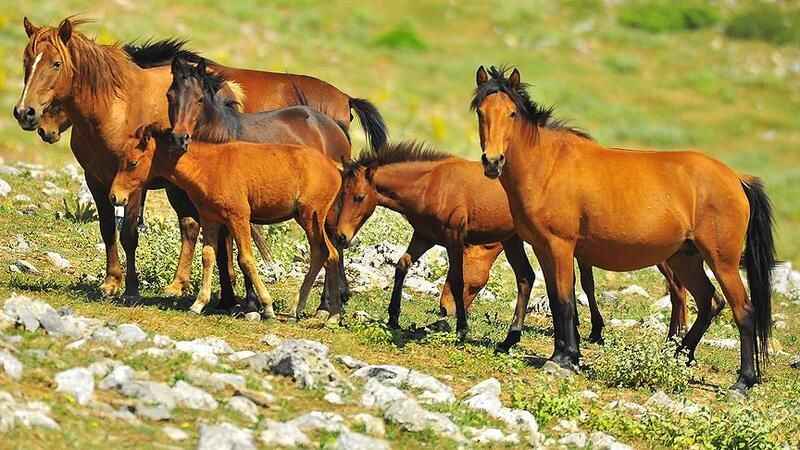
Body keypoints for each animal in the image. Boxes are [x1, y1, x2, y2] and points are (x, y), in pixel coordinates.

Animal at [109, 124, 340, 320]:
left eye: (133, 163)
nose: (114, 197)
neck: (207, 167)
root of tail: (335, 168)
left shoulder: (239, 218)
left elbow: (246, 259)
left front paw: (267, 306)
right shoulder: (210, 219)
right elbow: (208, 256)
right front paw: (198, 304)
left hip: (310, 218)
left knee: (324, 253)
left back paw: (322, 313)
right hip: (308, 219)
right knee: (327, 254)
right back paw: (306, 311)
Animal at [334, 142, 692, 346]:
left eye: (359, 197)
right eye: (340, 194)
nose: (341, 237)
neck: (432, 184)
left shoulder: (454, 238)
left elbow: (458, 278)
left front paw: (461, 329)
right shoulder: (425, 236)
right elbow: (402, 265)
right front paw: (393, 316)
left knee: (677, 287)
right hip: (514, 242)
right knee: (526, 278)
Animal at [476, 65, 776, 392]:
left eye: (511, 113)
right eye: (481, 112)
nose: (492, 161)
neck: (548, 165)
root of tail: (736, 177)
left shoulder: (560, 247)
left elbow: (566, 301)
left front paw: (564, 360)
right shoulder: (545, 249)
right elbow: (558, 300)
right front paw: (565, 355)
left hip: (723, 262)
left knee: (743, 311)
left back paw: (743, 382)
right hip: (685, 258)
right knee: (708, 302)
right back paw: (678, 356)